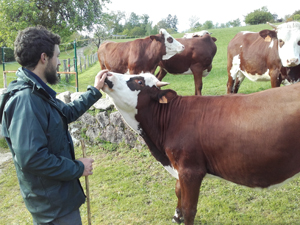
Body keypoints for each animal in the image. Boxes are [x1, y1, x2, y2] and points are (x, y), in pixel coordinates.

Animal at [103, 71, 300, 224]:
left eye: (139, 82)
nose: (106, 73)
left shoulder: (191, 170)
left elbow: (190, 208)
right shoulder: (179, 167)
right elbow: (178, 190)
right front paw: (176, 216)